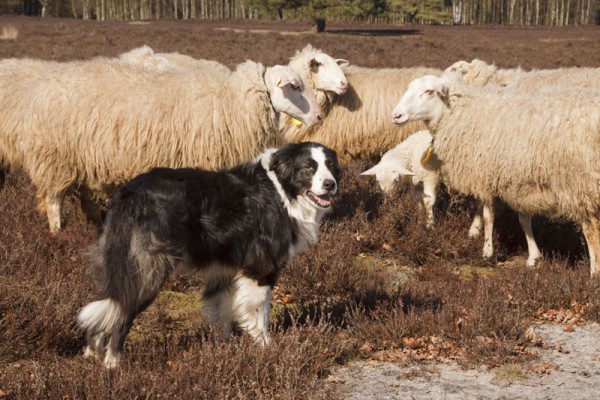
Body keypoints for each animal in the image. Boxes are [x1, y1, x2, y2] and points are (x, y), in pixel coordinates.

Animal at [0, 56, 324, 233]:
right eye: (295, 86)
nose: (320, 116)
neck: (231, 102)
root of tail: (40, 87)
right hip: (53, 158)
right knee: (54, 200)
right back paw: (57, 234)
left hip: (82, 159)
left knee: (84, 195)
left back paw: (96, 223)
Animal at [79, 142, 340, 368]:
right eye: (309, 167)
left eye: (330, 165)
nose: (330, 184)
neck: (282, 192)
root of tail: (130, 194)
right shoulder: (261, 268)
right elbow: (259, 315)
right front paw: (268, 349)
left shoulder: (224, 270)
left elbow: (220, 314)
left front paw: (222, 351)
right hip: (148, 270)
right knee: (122, 312)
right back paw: (113, 364)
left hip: (117, 262)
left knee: (106, 306)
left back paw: (92, 355)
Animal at [392, 74, 600, 276]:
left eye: (429, 91)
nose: (396, 115)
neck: (464, 114)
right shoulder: (516, 178)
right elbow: (523, 219)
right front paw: (533, 257)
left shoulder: (485, 175)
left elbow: (488, 216)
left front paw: (487, 251)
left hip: (580, 183)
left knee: (591, 230)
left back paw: (593, 273)